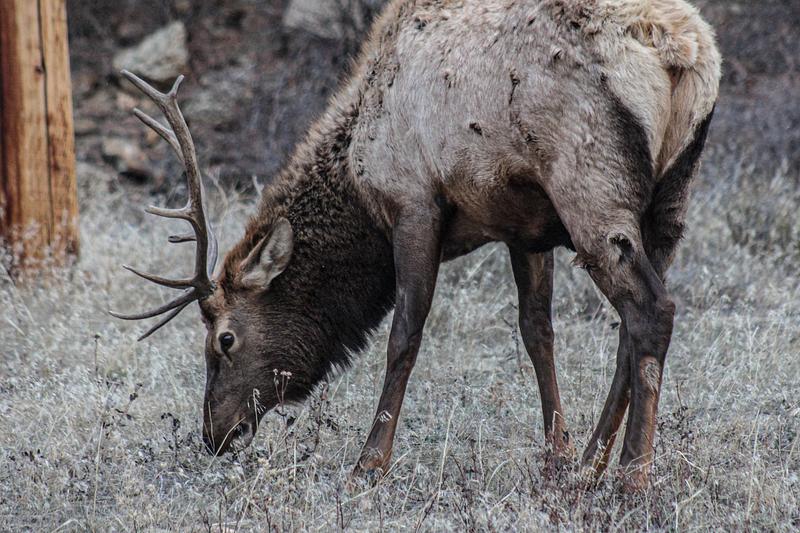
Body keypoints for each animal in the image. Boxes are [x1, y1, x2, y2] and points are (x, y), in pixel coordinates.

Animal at [113, 0, 720, 492]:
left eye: (224, 339)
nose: (214, 433)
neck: (358, 168)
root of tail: (685, 54)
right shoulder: (524, 225)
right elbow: (537, 333)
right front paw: (556, 458)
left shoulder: (413, 203)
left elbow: (404, 336)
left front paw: (368, 464)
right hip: (669, 200)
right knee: (630, 329)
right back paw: (593, 465)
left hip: (591, 188)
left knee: (652, 310)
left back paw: (631, 479)